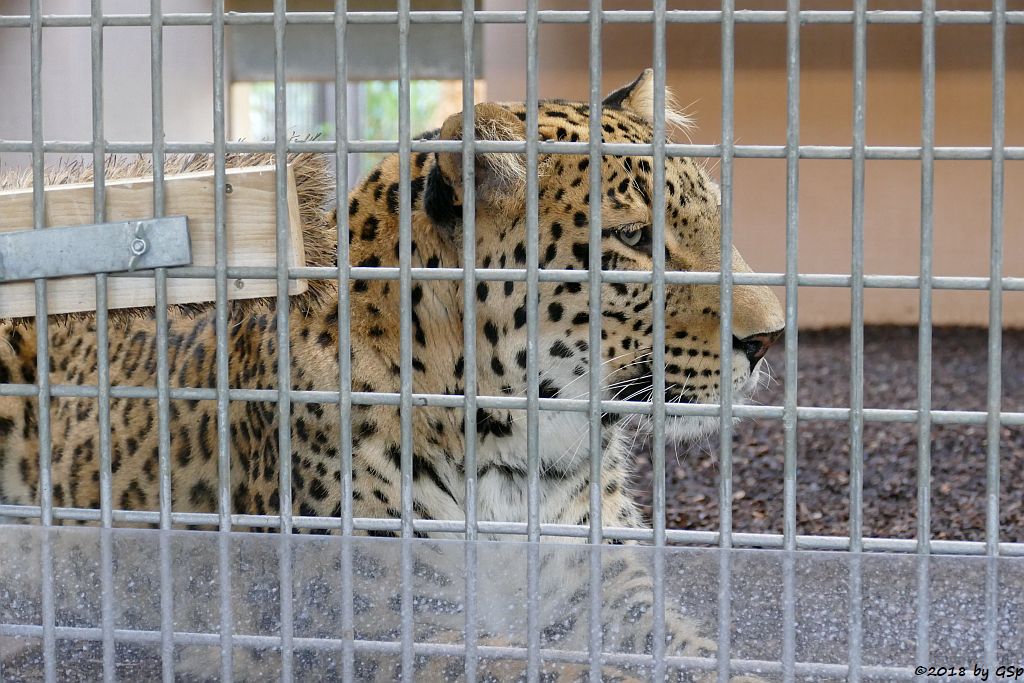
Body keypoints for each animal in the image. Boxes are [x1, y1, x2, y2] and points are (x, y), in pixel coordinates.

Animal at [0, 72, 782, 679]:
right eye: (632, 238)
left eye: (717, 217)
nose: (769, 335)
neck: (520, 454)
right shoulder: (389, 622)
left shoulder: (610, 587)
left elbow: (686, 648)